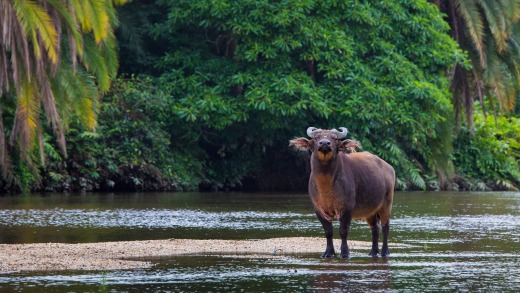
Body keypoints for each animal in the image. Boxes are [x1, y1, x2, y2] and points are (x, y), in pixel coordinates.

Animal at [290, 126, 396, 256]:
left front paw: (345, 252)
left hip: (386, 203)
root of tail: (389, 168)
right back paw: (373, 252)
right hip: (370, 210)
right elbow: (328, 232)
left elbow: (343, 230)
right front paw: (328, 252)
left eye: (334, 138)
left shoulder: (347, 208)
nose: (324, 143)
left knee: (385, 227)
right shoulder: (319, 209)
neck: (326, 186)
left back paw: (384, 252)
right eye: (316, 137)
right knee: (375, 228)